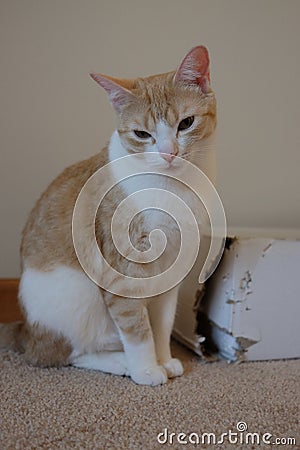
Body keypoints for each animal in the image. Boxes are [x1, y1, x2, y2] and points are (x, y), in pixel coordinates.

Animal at [0, 45, 216, 384]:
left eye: (186, 123)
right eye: (142, 134)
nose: (168, 153)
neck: (174, 187)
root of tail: (26, 331)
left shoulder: (172, 271)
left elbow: (162, 325)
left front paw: (164, 360)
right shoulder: (122, 274)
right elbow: (138, 329)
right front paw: (146, 369)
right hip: (79, 295)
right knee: (61, 355)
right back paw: (120, 362)